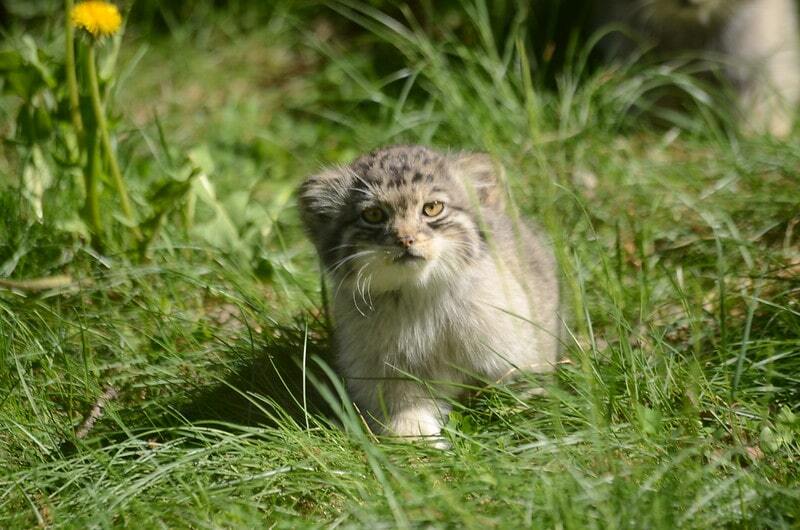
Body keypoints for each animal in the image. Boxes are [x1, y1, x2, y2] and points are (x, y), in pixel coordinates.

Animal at [296, 145, 560, 442]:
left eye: (432, 208)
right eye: (373, 215)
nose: (405, 239)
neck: (419, 295)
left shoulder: (515, 352)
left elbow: (521, 391)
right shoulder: (387, 372)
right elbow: (405, 409)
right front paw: (414, 440)